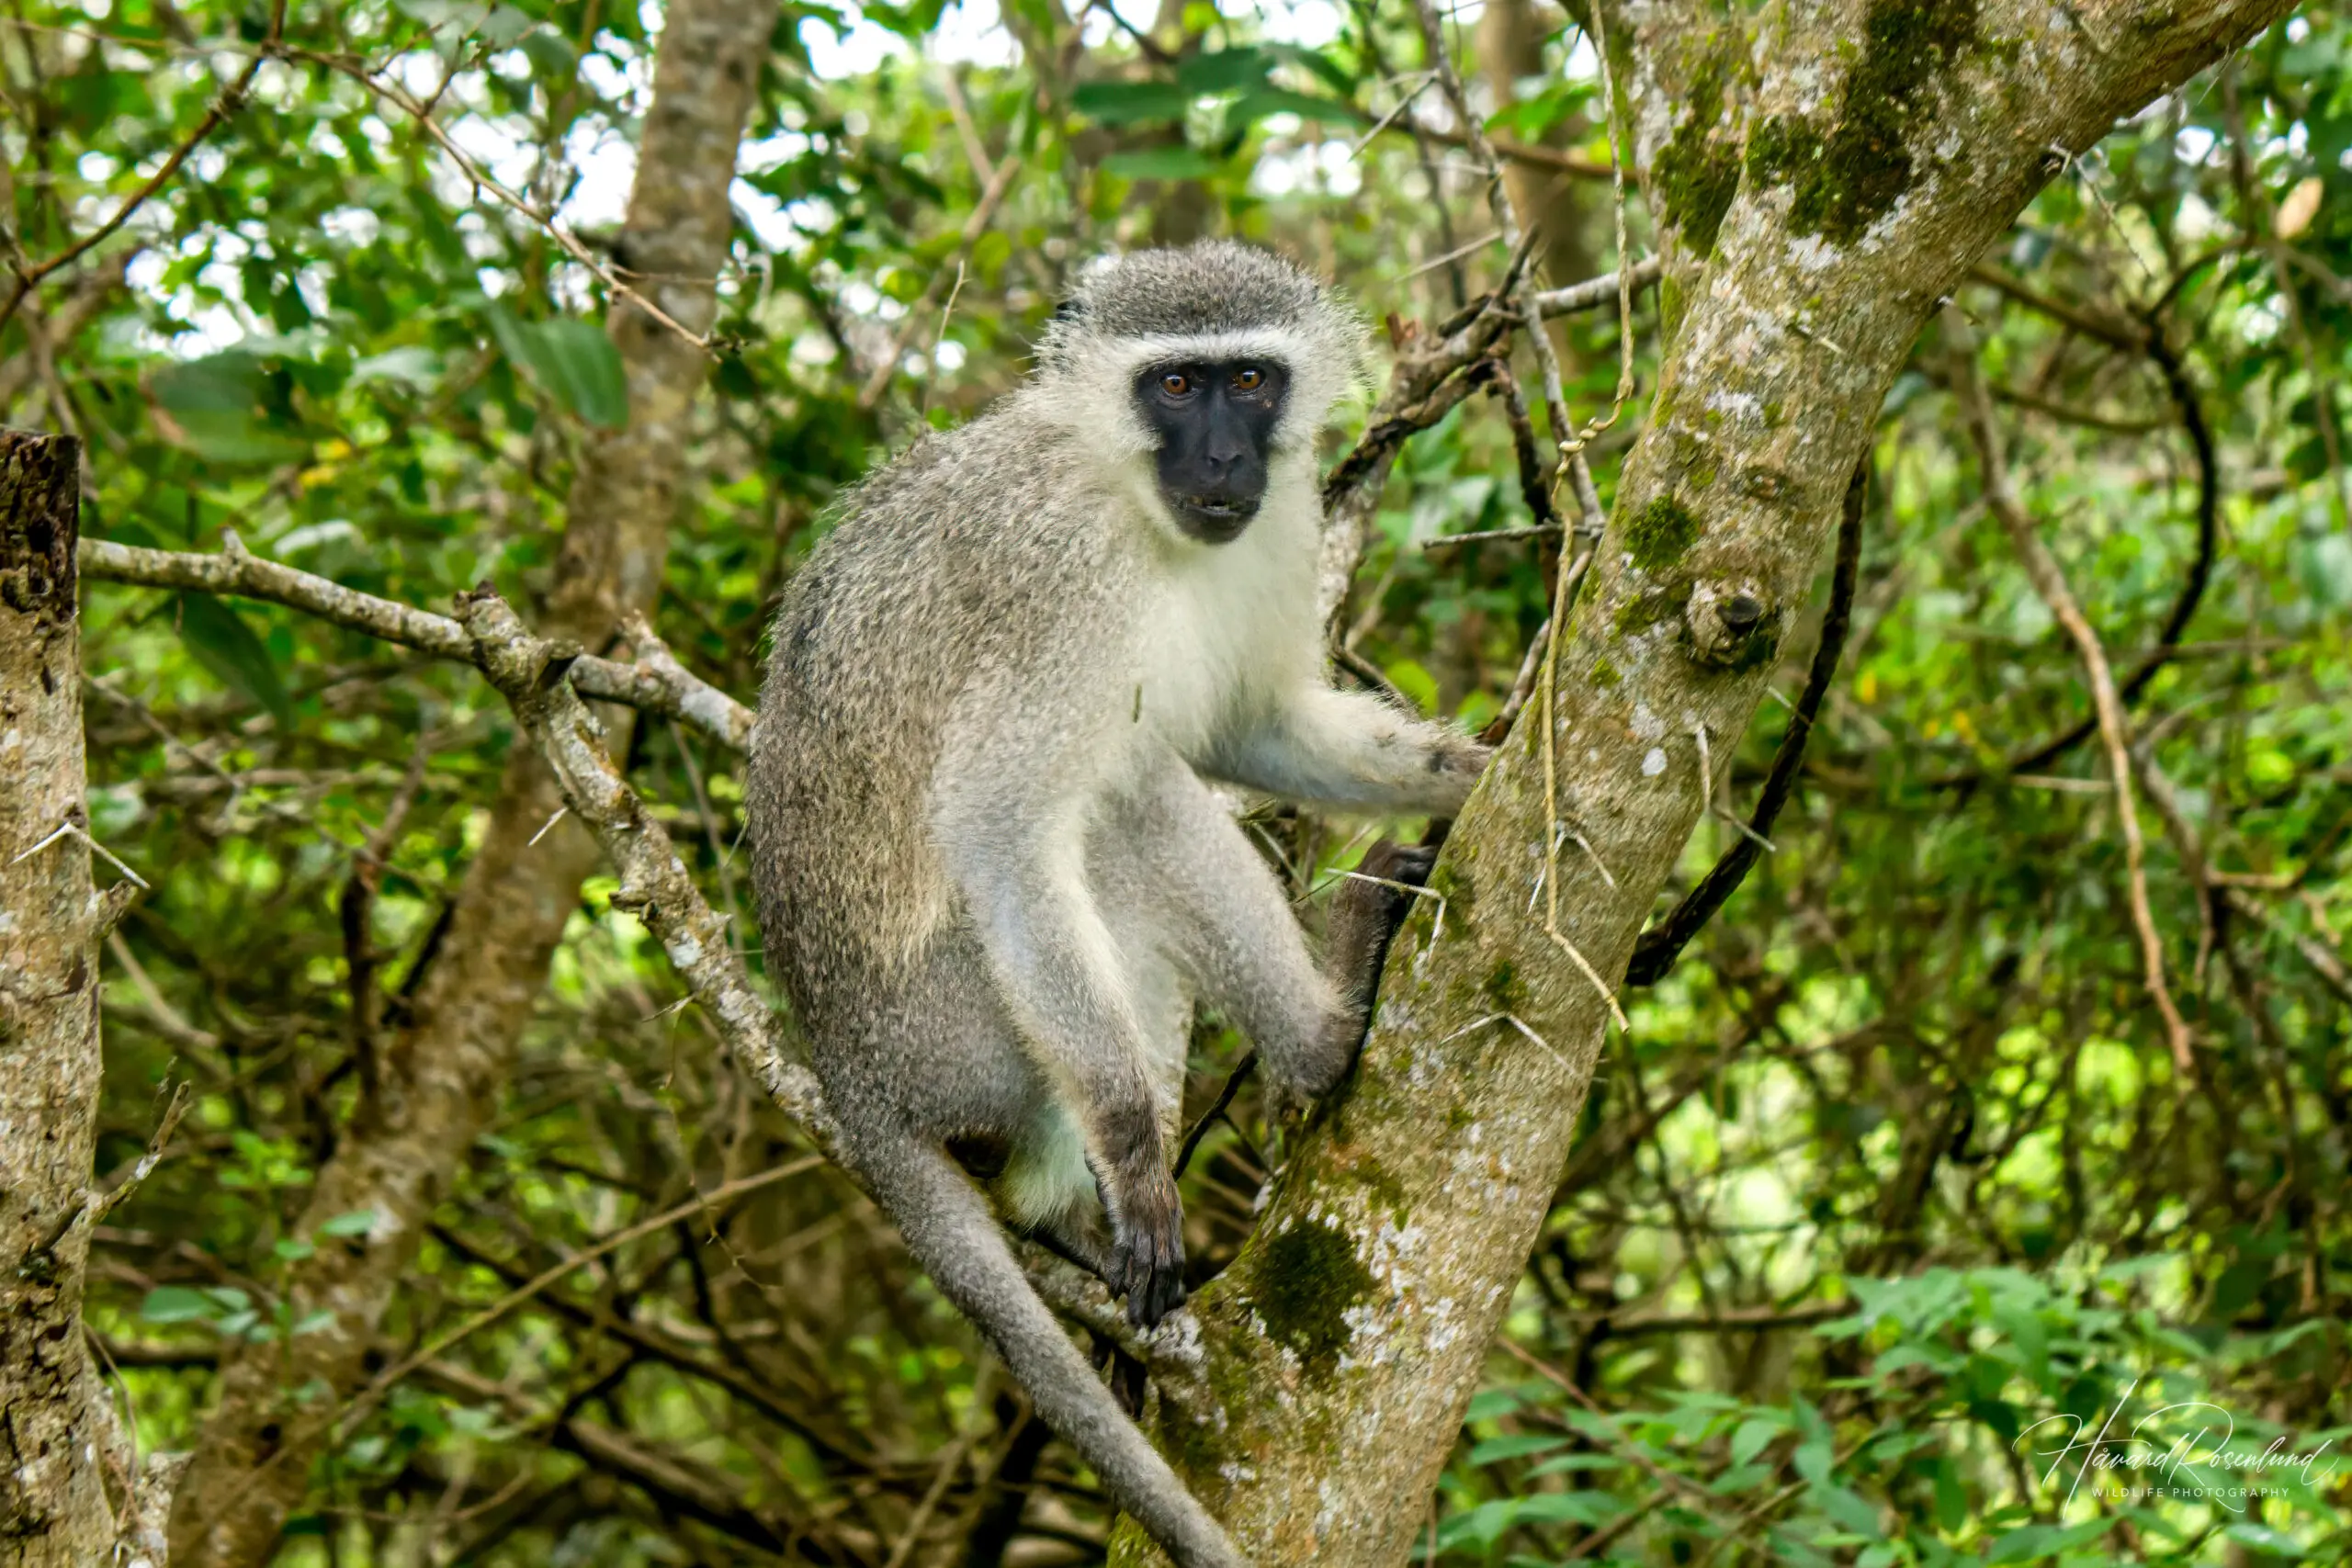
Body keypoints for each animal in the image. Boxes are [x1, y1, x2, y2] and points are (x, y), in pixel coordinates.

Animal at [748, 242, 1486, 1568]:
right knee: (1128, 804)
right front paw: (1141, 1159)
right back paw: (1318, 1033)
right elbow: (1000, 829)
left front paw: (1476, 769)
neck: (1134, 499)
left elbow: (1255, 722)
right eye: (1174, 384)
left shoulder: (1279, 524)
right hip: (957, 1020)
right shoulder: (1067, 583)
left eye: (1250, 379)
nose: (1225, 461)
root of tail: (842, 1063)